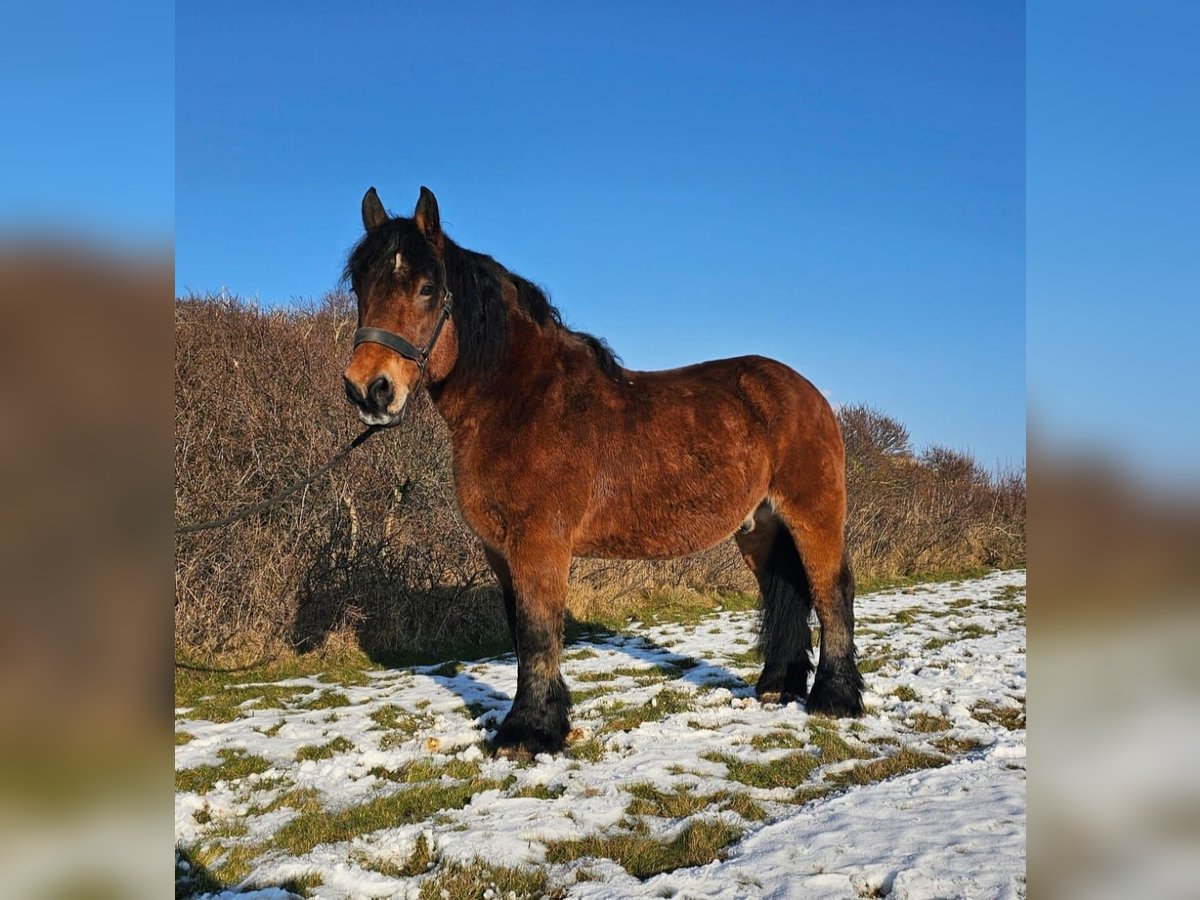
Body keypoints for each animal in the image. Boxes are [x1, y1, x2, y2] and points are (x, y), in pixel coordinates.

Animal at [343, 187, 859, 758]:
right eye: (360, 287)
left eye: (428, 288)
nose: (369, 390)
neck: (522, 401)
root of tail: (807, 393)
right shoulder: (499, 550)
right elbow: (522, 634)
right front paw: (539, 723)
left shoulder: (539, 543)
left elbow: (539, 632)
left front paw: (527, 734)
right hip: (759, 528)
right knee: (784, 590)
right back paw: (776, 688)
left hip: (813, 514)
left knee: (832, 593)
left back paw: (835, 700)